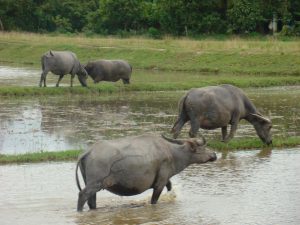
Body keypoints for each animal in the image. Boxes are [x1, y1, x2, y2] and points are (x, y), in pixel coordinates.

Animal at [75, 134, 216, 211]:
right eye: (203, 148)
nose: (214, 154)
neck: (172, 153)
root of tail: (89, 151)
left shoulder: (165, 179)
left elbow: (170, 187)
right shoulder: (160, 183)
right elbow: (154, 200)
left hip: (92, 184)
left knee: (91, 201)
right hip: (95, 184)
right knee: (82, 195)